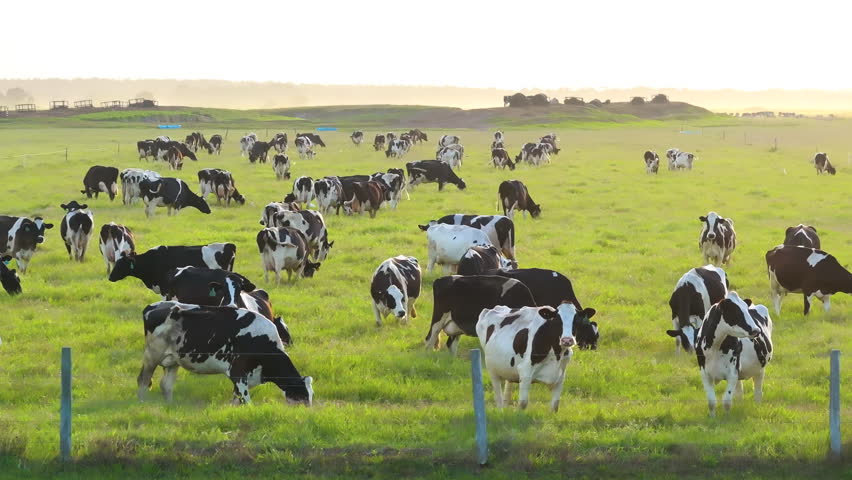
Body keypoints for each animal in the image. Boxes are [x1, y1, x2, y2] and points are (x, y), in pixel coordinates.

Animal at [138, 302, 312, 405]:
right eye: (302, 396)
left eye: (310, 396)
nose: (307, 410)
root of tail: (153, 306)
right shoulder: (238, 372)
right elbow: (246, 401)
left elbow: (236, 400)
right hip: (152, 355)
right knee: (143, 380)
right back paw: (142, 402)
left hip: (173, 360)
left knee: (166, 385)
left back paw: (170, 405)